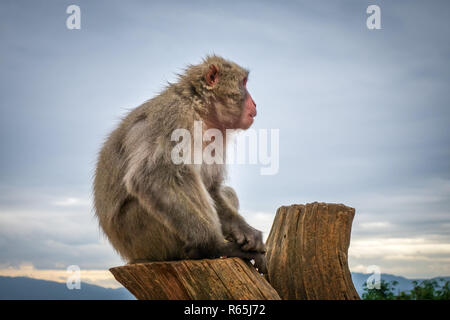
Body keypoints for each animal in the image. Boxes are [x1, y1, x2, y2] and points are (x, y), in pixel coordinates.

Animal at [92, 54, 266, 272]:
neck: (199, 109)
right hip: (141, 235)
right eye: (243, 83)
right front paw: (214, 244)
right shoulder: (175, 116)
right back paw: (207, 250)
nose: (255, 103)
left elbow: (212, 188)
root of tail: (130, 255)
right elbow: (151, 177)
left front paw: (247, 232)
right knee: (180, 176)